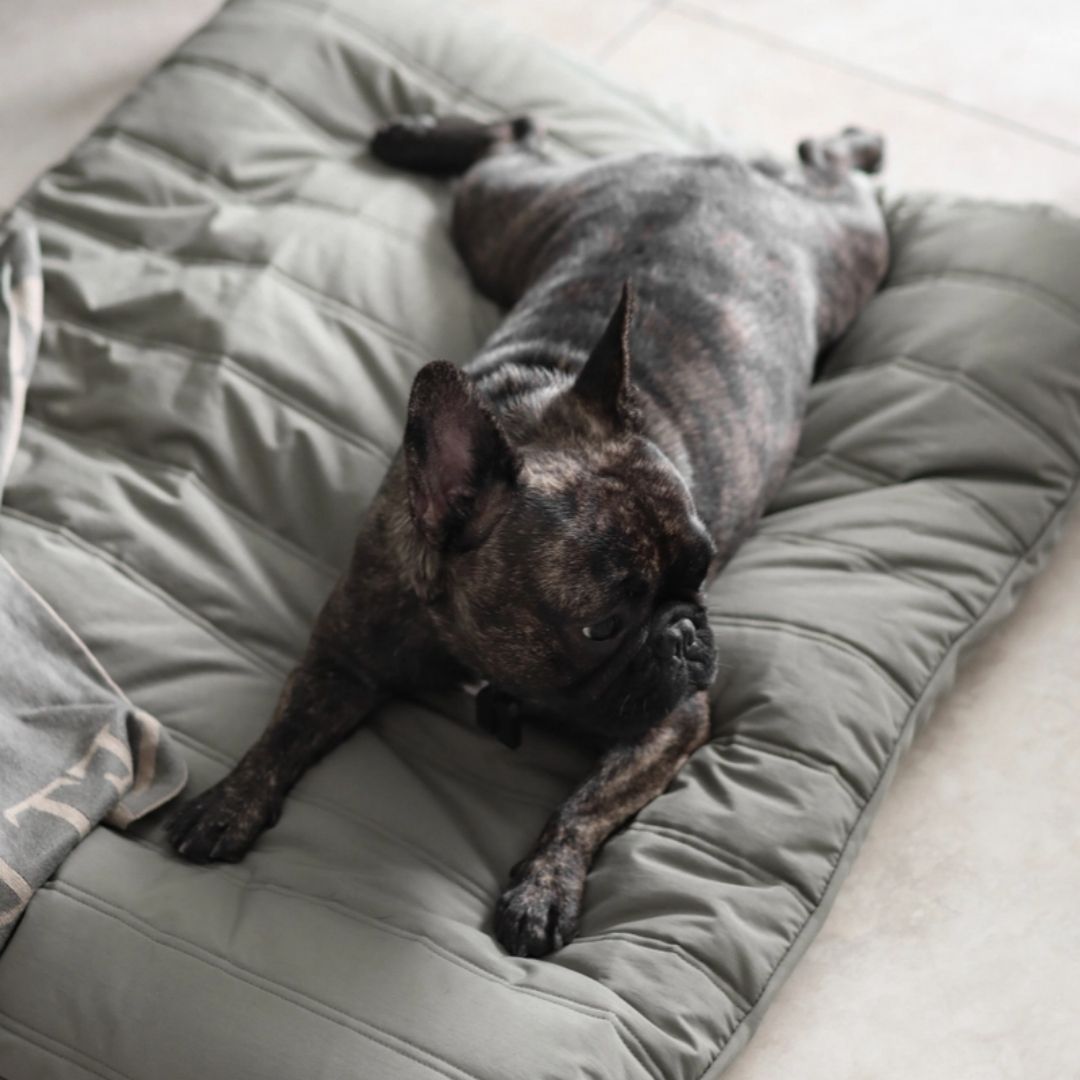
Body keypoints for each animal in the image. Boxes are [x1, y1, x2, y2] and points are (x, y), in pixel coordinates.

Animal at [168, 118, 889, 959]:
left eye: (705, 571)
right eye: (602, 626)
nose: (686, 634)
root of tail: (713, 160)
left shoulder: (673, 719)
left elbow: (584, 805)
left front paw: (544, 889)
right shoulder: (344, 658)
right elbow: (284, 731)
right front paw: (230, 801)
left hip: (851, 246)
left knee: (823, 164)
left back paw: (857, 140)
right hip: (503, 217)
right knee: (514, 136)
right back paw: (412, 135)